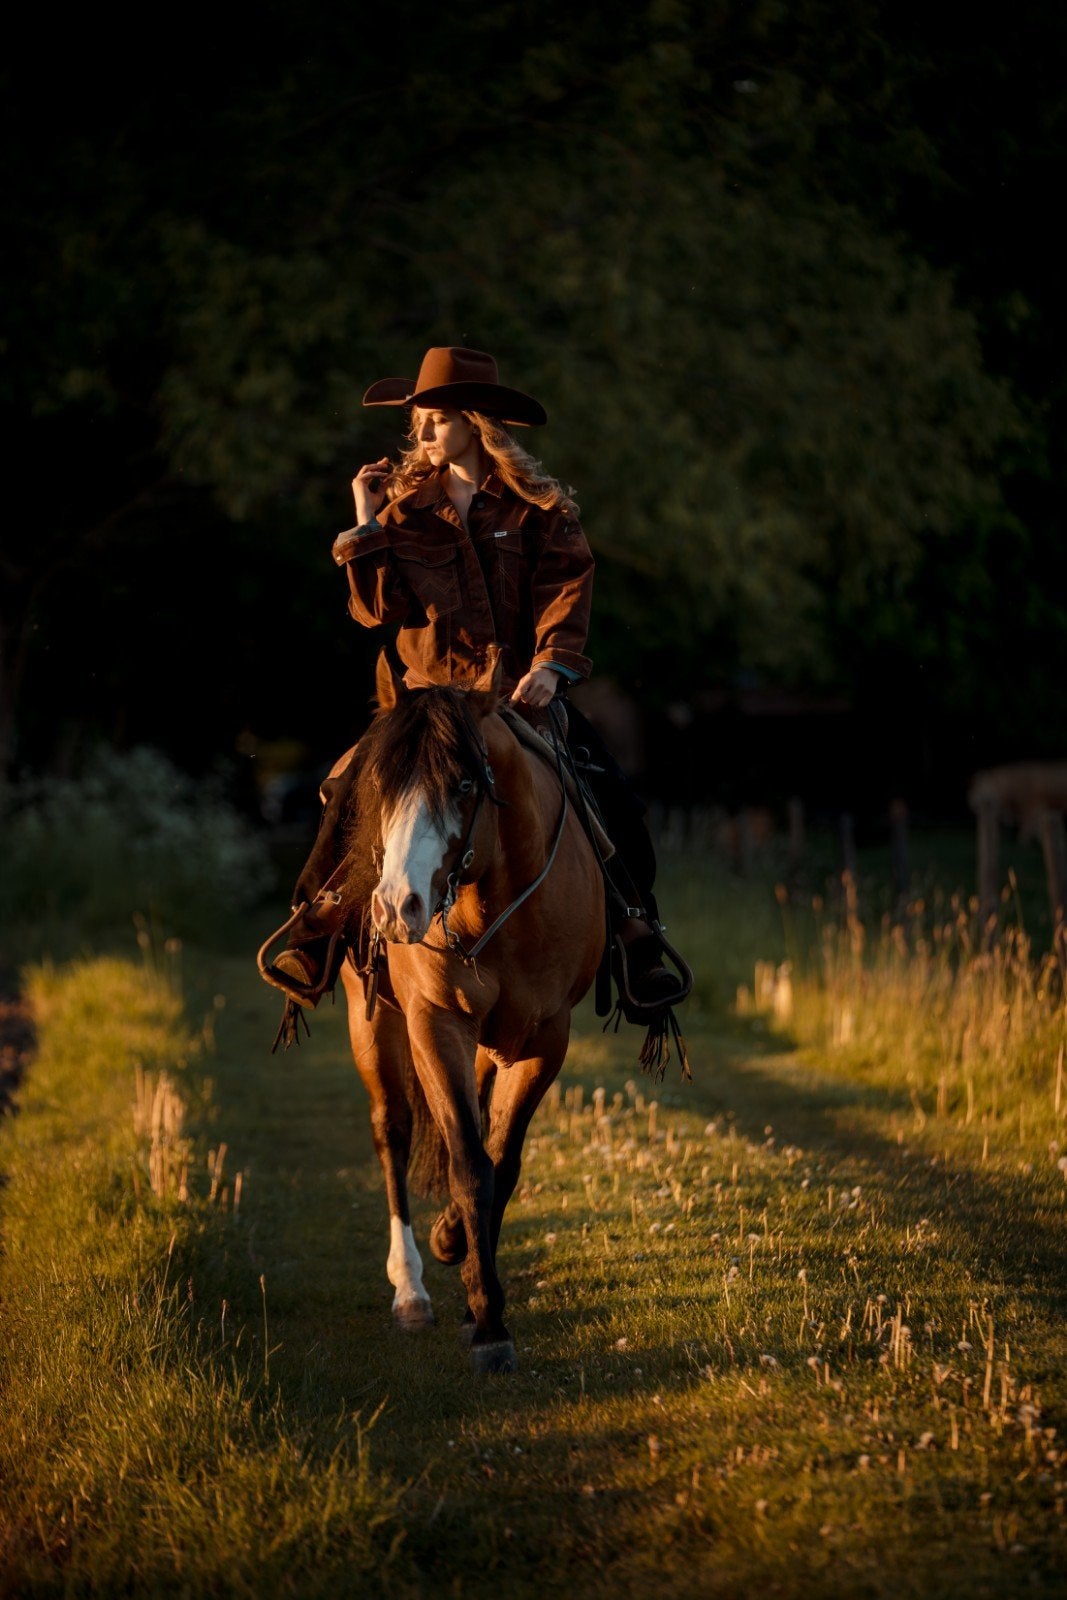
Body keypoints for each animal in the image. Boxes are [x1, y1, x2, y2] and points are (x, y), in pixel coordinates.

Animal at [334, 647, 606, 1374]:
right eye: (379, 785)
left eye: (463, 785)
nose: (395, 908)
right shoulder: (434, 1022)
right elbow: (466, 1161)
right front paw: (484, 1318)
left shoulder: (544, 1038)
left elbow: (500, 1162)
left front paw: (470, 1275)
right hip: (372, 1021)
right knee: (393, 1128)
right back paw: (411, 1291)